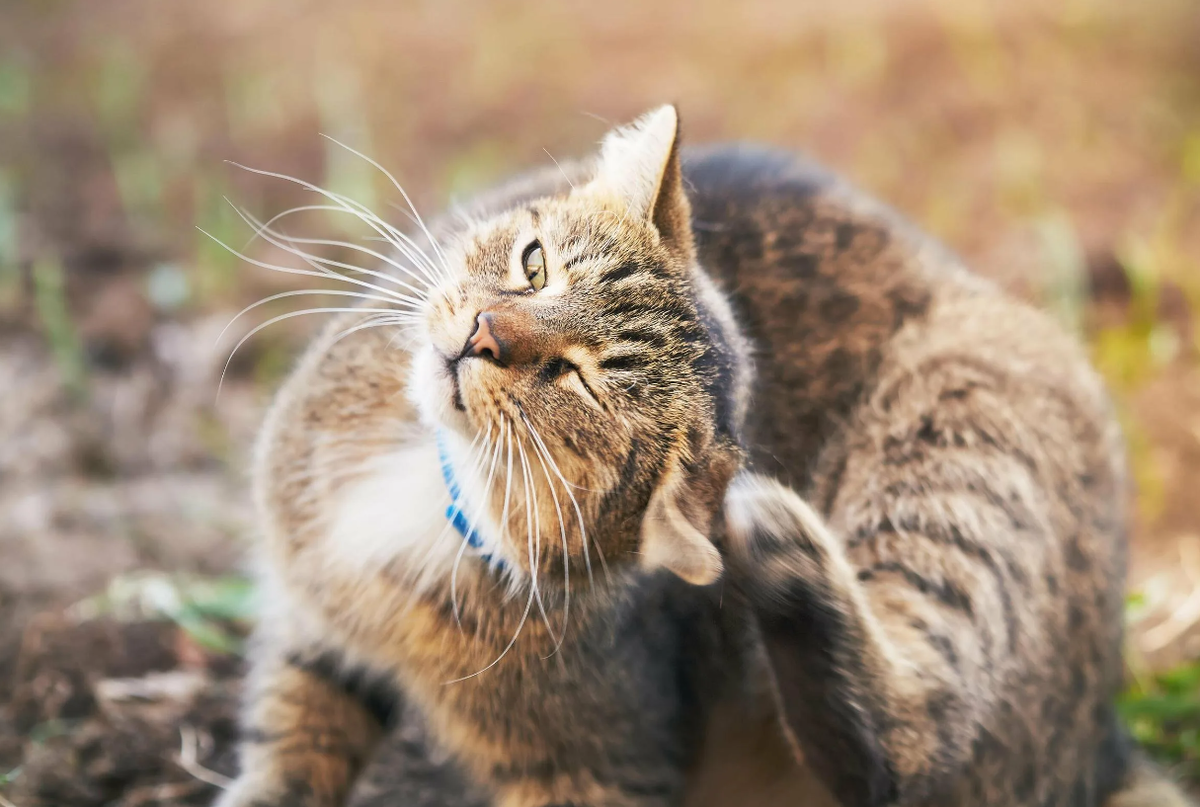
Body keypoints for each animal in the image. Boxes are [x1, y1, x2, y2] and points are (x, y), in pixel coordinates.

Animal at [218, 108, 1190, 806]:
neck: (445, 482)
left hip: (966, 420)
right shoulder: (313, 637)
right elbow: (286, 753)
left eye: (582, 382)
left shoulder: (602, 764)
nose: (484, 333)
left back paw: (788, 551)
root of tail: (1102, 737)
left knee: (914, 746)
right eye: (535, 266)